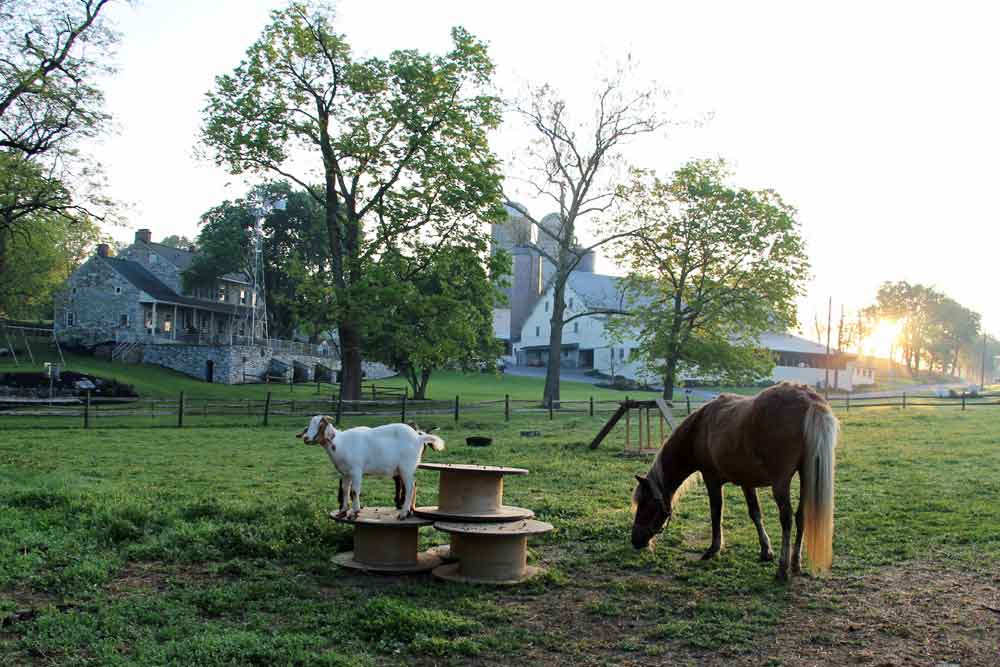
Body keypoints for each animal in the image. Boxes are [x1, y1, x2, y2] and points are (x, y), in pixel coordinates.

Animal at [296, 418, 446, 520]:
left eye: (320, 425)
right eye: (309, 426)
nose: (306, 438)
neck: (340, 443)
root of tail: (419, 438)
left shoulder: (356, 471)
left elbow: (354, 491)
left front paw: (355, 512)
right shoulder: (346, 473)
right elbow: (345, 490)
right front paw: (343, 511)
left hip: (406, 467)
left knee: (410, 487)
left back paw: (403, 513)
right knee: (413, 486)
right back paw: (408, 512)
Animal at [632, 384, 836, 580]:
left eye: (645, 505)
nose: (635, 540)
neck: (699, 429)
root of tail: (809, 400)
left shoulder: (712, 479)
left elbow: (716, 512)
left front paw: (713, 549)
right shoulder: (747, 483)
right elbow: (755, 514)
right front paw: (766, 551)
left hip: (781, 483)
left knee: (786, 519)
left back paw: (783, 568)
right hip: (806, 477)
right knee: (801, 516)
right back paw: (795, 563)